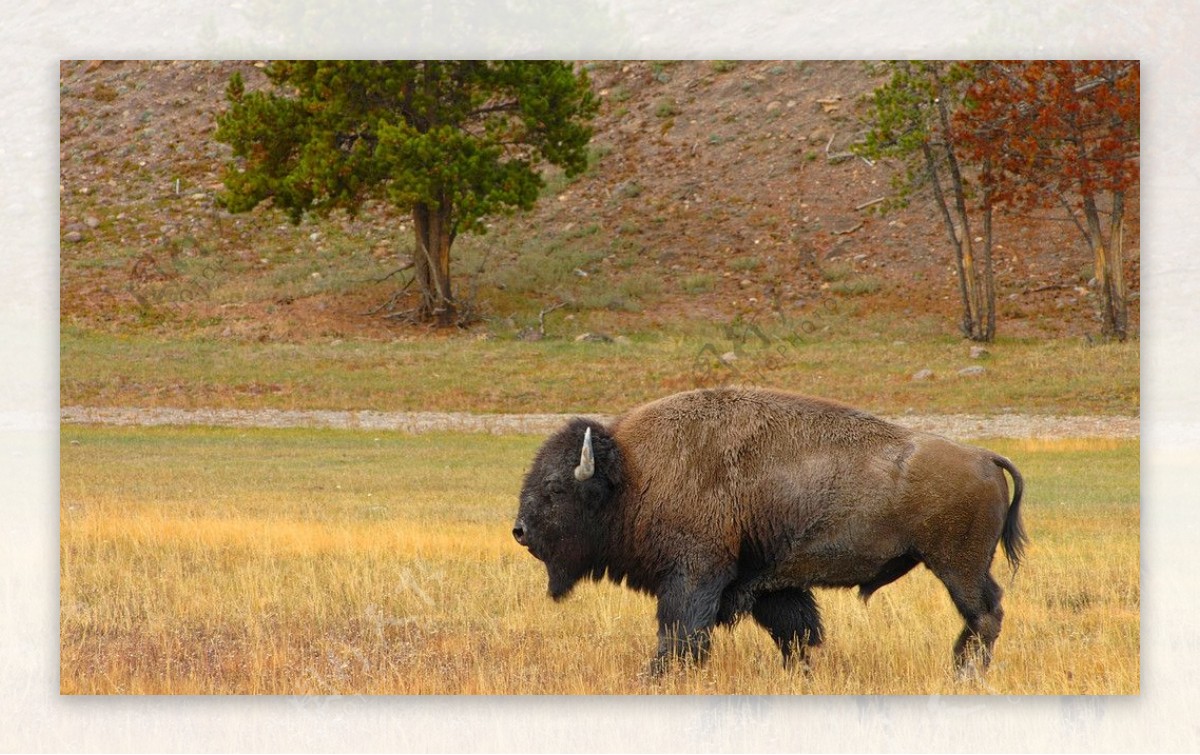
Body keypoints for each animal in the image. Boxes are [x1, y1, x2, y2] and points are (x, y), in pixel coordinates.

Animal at [511, 386, 1027, 672]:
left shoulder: (694, 575)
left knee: (985, 614)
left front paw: (655, 676)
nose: (519, 531)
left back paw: (964, 671)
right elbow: (796, 633)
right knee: (986, 614)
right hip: (963, 567)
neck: (634, 472)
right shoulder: (769, 585)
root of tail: (984, 455)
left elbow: (680, 635)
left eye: (555, 488)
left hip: (957, 567)